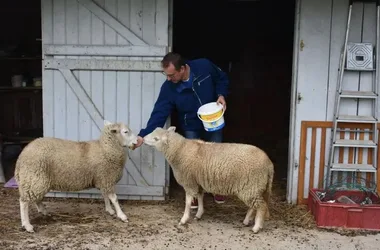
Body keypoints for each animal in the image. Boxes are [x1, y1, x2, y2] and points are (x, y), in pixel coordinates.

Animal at [142, 126, 274, 233]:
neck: (180, 150)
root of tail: (269, 164)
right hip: (253, 188)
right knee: (254, 206)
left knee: (261, 206)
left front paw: (184, 219)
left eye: (156, 139)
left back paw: (256, 227)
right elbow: (200, 197)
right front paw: (199, 214)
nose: (142, 139)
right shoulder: (198, 182)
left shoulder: (189, 182)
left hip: (251, 186)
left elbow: (188, 202)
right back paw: (247, 220)